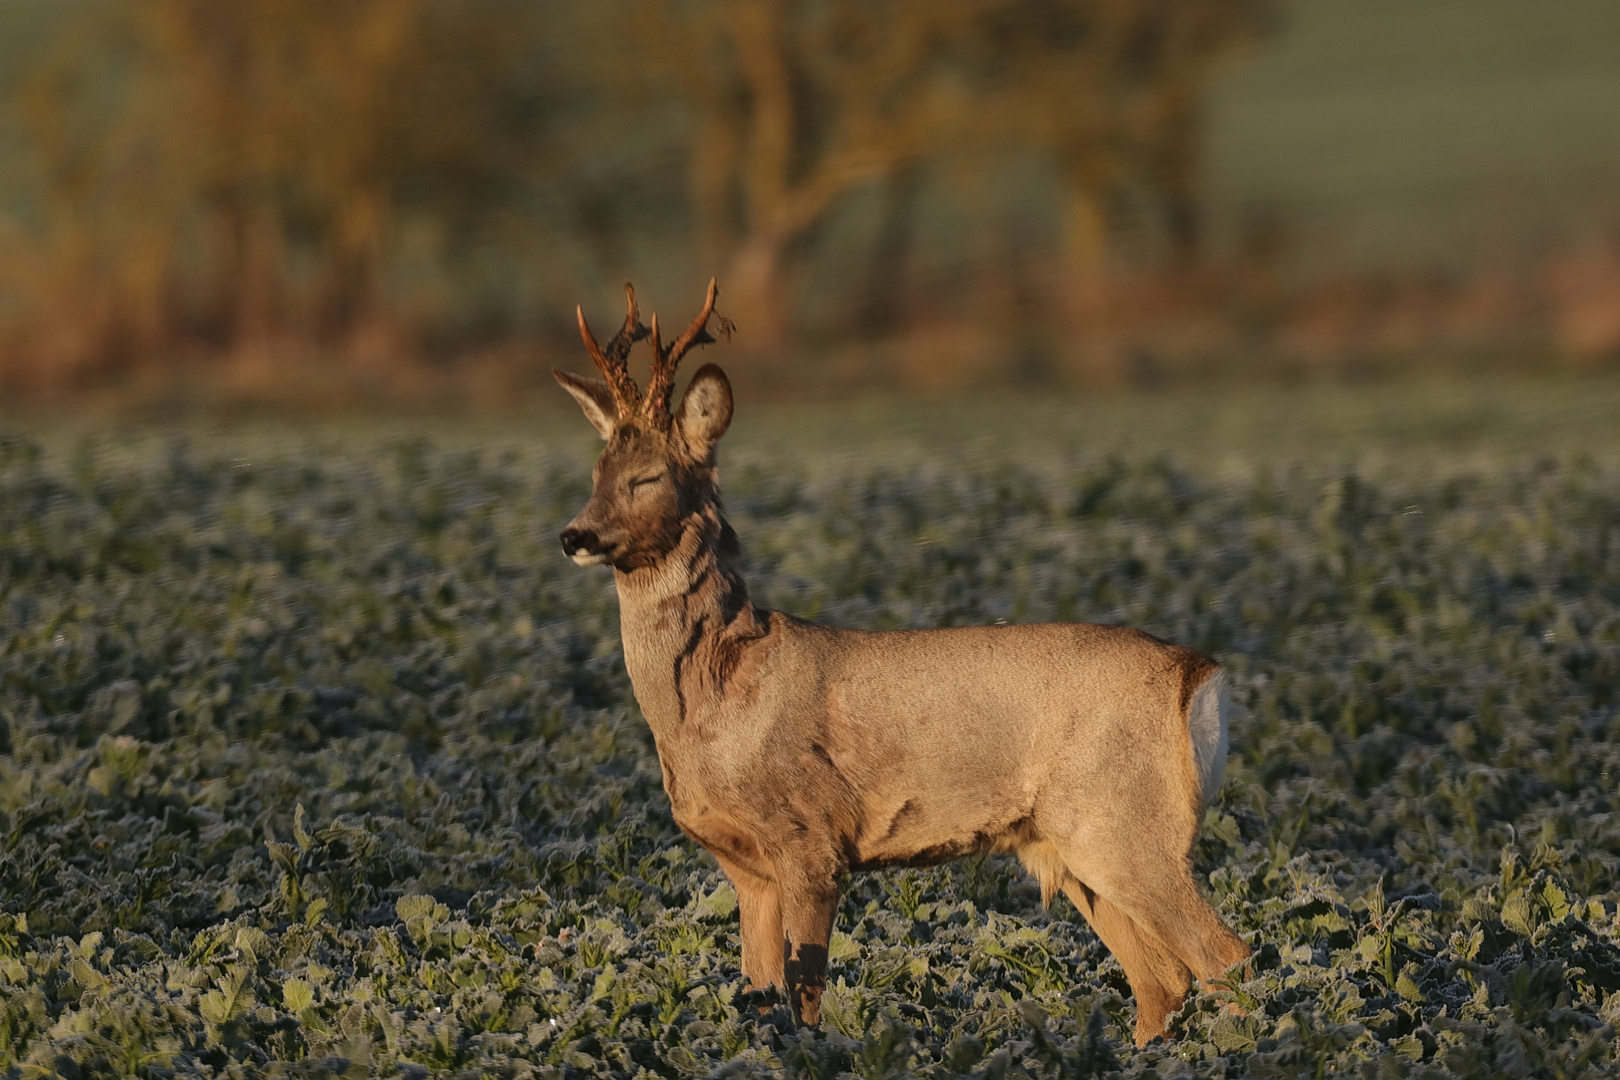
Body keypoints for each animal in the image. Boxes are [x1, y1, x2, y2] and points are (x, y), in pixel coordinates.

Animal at [550, 278, 1244, 1049]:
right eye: (595, 472)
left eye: (646, 477)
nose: (575, 535)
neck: (718, 700)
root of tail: (1197, 678)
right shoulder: (746, 869)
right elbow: (755, 998)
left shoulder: (813, 840)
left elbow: (803, 999)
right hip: (1076, 847)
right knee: (1163, 980)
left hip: (1126, 823)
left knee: (1224, 956)